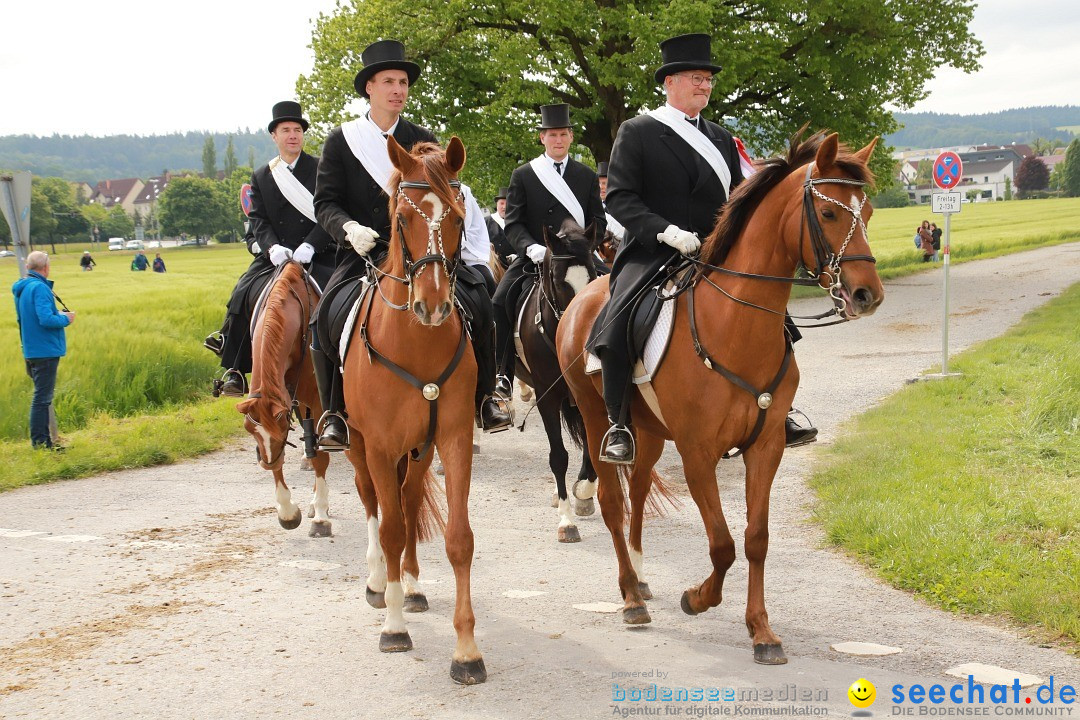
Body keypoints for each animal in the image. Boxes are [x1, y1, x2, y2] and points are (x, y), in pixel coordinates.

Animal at [236, 262, 332, 537]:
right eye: (250, 432)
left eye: (281, 430)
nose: (267, 464)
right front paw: (288, 511)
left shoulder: (318, 401)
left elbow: (321, 455)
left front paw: (321, 517)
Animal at [341, 136, 486, 686]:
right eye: (403, 217)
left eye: (459, 218)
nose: (432, 305)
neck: (416, 341)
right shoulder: (380, 447)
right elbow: (389, 528)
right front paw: (394, 626)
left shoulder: (453, 438)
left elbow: (458, 538)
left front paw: (466, 650)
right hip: (357, 446)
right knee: (374, 504)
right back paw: (380, 583)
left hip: (419, 453)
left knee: (406, 499)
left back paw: (412, 584)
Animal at [511, 218, 600, 539]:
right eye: (560, 281)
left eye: (593, 276)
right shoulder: (547, 396)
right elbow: (558, 456)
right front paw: (567, 520)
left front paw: (583, 492)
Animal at [557, 133, 885, 664]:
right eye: (829, 213)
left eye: (869, 211)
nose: (865, 295)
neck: (735, 324)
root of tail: (580, 301)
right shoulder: (698, 454)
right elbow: (722, 545)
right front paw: (697, 598)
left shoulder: (766, 447)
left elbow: (755, 539)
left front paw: (762, 631)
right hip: (594, 418)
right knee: (610, 500)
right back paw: (630, 598)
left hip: (649, 432)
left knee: (639, 491)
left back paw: (642, 581)